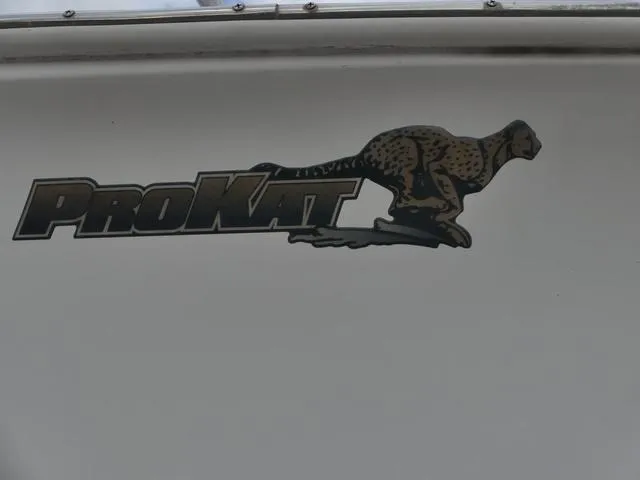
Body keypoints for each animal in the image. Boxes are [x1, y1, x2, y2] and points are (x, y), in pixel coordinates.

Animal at [250, 120, 542, 248]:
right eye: (529, 138)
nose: (539, 146)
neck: (496, 153)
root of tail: (364, 153)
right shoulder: (440, 167)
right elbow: (453, 199)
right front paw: (445, 214)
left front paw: (447, 220)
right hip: (405, 157)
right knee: (399, 200)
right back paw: (424, 206)